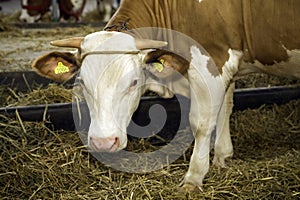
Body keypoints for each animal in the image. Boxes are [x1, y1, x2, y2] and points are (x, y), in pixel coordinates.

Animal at [31, 0, 298, 192]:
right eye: (82, 83)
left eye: (134, 82)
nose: (103, 143)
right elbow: (225, 106)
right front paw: (222, 157)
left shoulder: (210, 59)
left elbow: (202, 122)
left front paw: (193, 178)